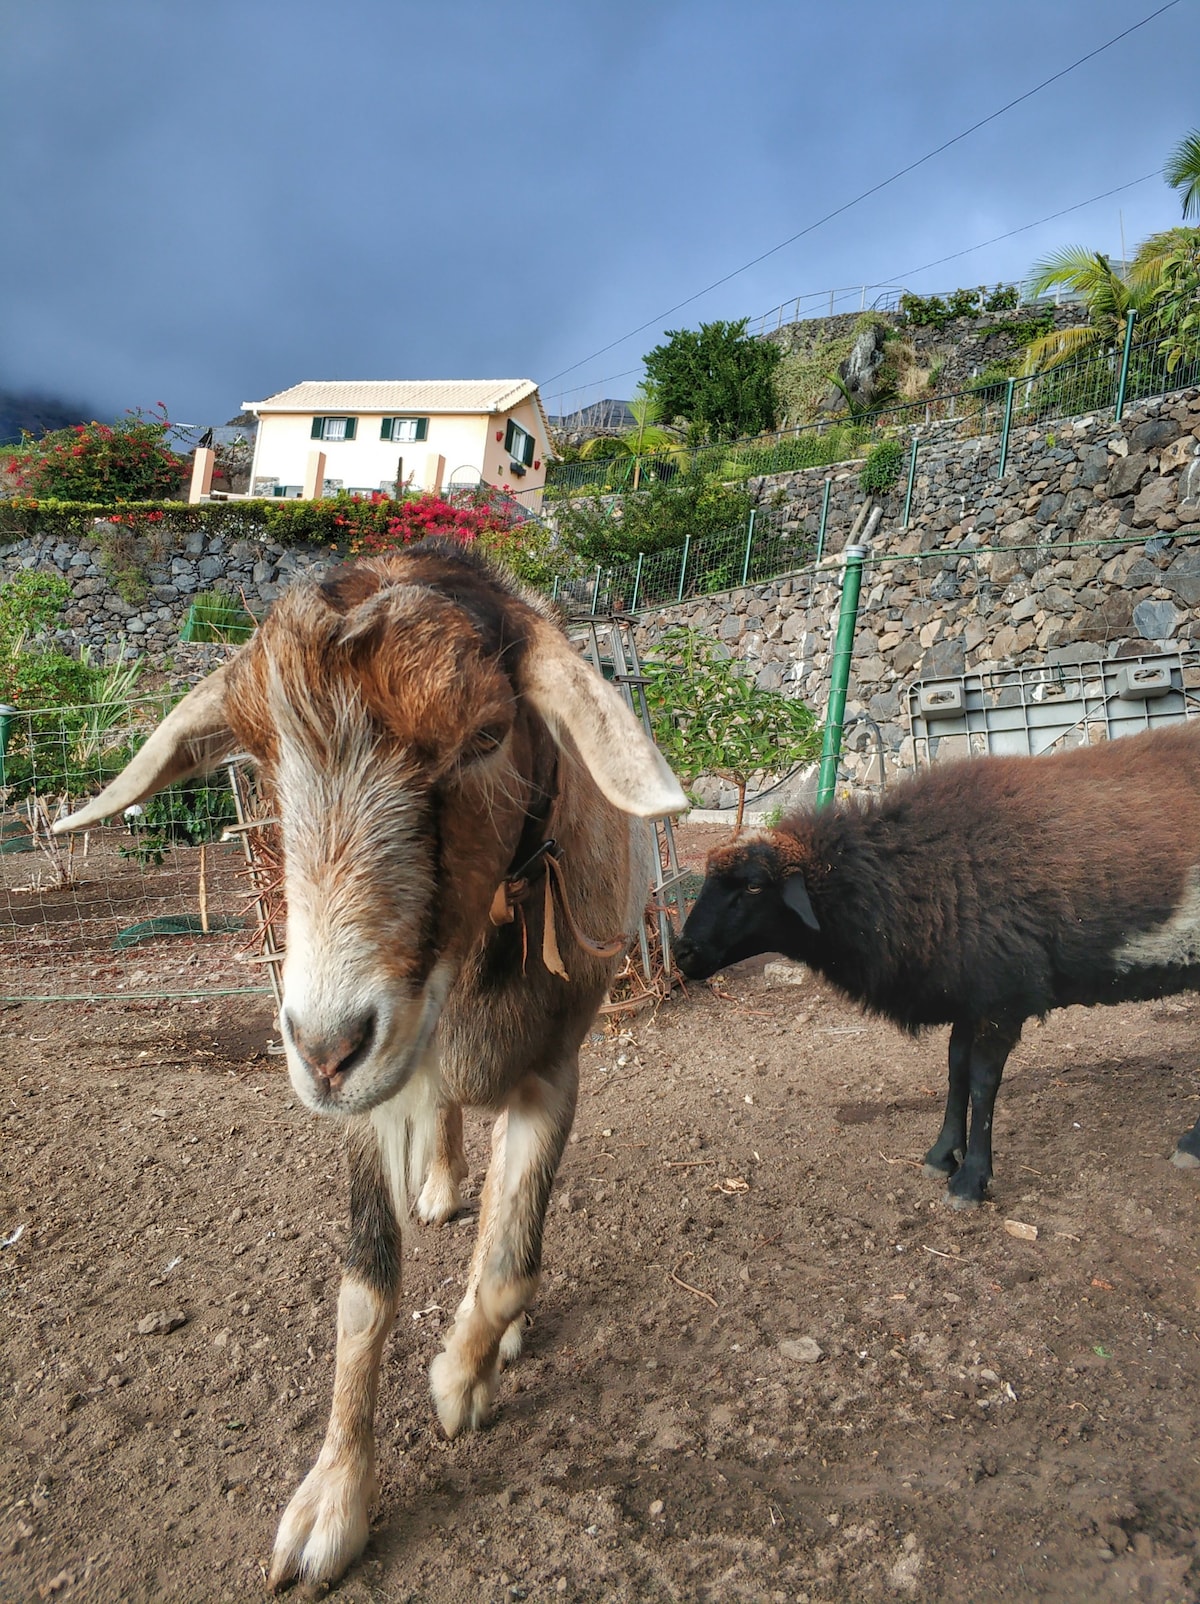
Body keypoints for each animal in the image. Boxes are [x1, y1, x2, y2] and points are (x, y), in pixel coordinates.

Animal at [53, 542, 683, 1591]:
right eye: (259, 761)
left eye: (485, 735)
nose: (321, 1047)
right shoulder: (366, 1105)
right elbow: (363, 1292)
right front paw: (332, 1504)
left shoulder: (555, 1069)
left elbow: (509, 1261)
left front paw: (460, 1378)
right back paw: (438, 1179)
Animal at [673, 725, 1200, 1206]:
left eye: (754, 886)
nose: (683, 953)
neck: (908, 871)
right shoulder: (967, 991)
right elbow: (955, 1070)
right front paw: (941, 1155)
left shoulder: (1002, 998)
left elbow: (983, 1083)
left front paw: (971, 1180)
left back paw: (1190, 1145)